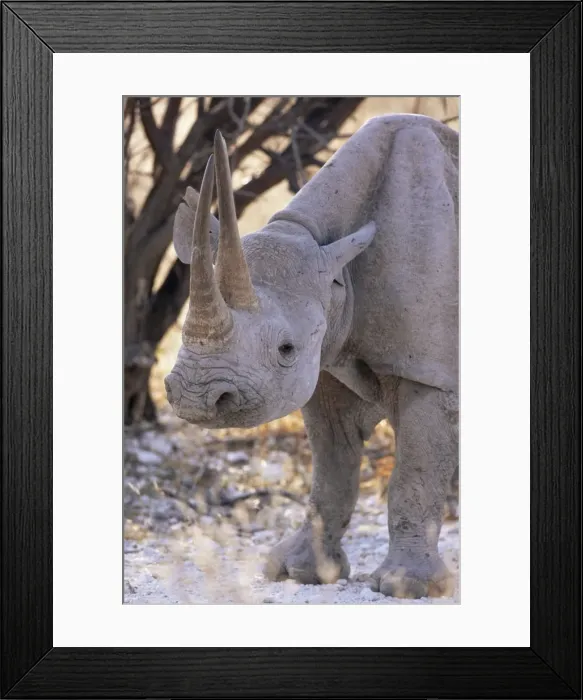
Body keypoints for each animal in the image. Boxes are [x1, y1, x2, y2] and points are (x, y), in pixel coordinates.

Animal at [165, 113, 459, 598]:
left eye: (286, 349)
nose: (195, 398)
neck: (338, 277)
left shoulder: (430, 369)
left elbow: (415, 471)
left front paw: (406, 586)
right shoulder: (326, 367)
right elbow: (331, 469)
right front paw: (300, 572)